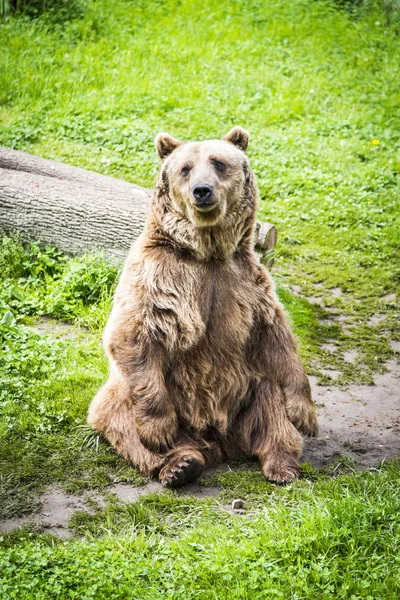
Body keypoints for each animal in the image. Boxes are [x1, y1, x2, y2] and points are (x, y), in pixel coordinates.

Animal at [88, 126, 318, 488]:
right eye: (185, 168)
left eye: (219, 163)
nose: (202, 191)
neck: (207, 252)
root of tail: (217, 444)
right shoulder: (156, 276)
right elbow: (133, 333)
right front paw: (158, 432)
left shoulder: (248, 282)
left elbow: (278, 339)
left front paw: (306, 415)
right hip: (141, 396)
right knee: (116, 410)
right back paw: (179, 464)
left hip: (247, 392)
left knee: (271, 399)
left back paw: (282, 465)